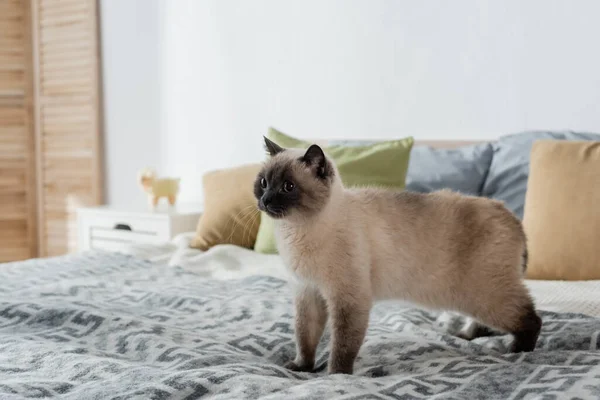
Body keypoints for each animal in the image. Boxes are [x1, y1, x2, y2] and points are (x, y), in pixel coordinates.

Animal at [253, 138, 544, 376]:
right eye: (264, 183)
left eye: (288, 187)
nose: (265, 201)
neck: (296, 231)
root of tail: (511, 215)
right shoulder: (309, 294)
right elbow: (305, 337)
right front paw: (301, 367)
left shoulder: (348, 299)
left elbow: (342, 346)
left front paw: (336, 376)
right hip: (477, 299)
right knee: (491, 321)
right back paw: (466, 335)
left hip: (485, 296)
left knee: (531, 318)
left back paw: (517, 350)